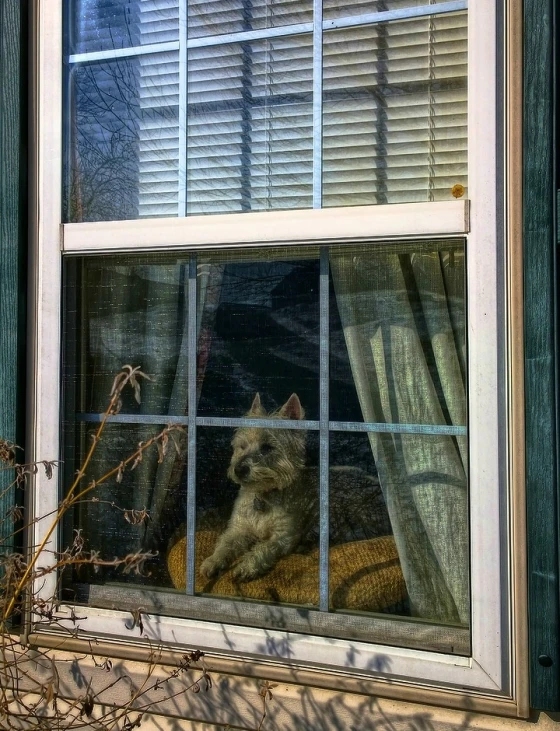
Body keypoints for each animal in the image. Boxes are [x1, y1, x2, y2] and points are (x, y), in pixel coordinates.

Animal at [200, 394, 390, 584]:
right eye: (242, 446)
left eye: (267, 447)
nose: (238, 470)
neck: (264, 494)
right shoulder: (238, 528)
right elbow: (225, 543)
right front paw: (212, 561)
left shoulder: (284, 536)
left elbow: (265, 547)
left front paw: (247, 566)